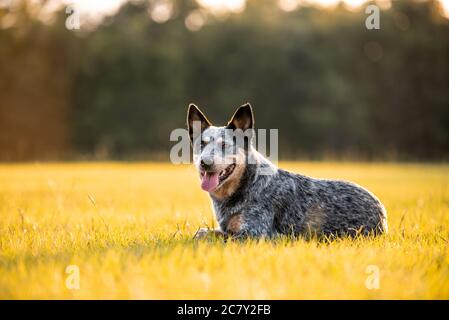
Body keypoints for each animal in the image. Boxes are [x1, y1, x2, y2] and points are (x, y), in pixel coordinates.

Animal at [187, 103, 386, 240]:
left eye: (224, 145)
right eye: (202, 144)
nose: (205, 163)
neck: (248, 185)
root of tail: (381, 210)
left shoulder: (257, 234)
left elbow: (209, 235)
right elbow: (201, 231)